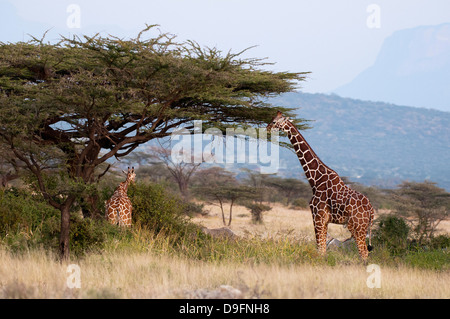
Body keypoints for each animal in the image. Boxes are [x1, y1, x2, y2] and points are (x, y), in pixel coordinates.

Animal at [268, 111, 376, 262]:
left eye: (274, 121)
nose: (267, 128)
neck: (315, 180)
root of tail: (371, 210)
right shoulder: (324, 220)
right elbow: (323, 250)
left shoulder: (317, 216)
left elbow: (320, 248)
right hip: (362, 227)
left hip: (357, 226)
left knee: (364, 253)